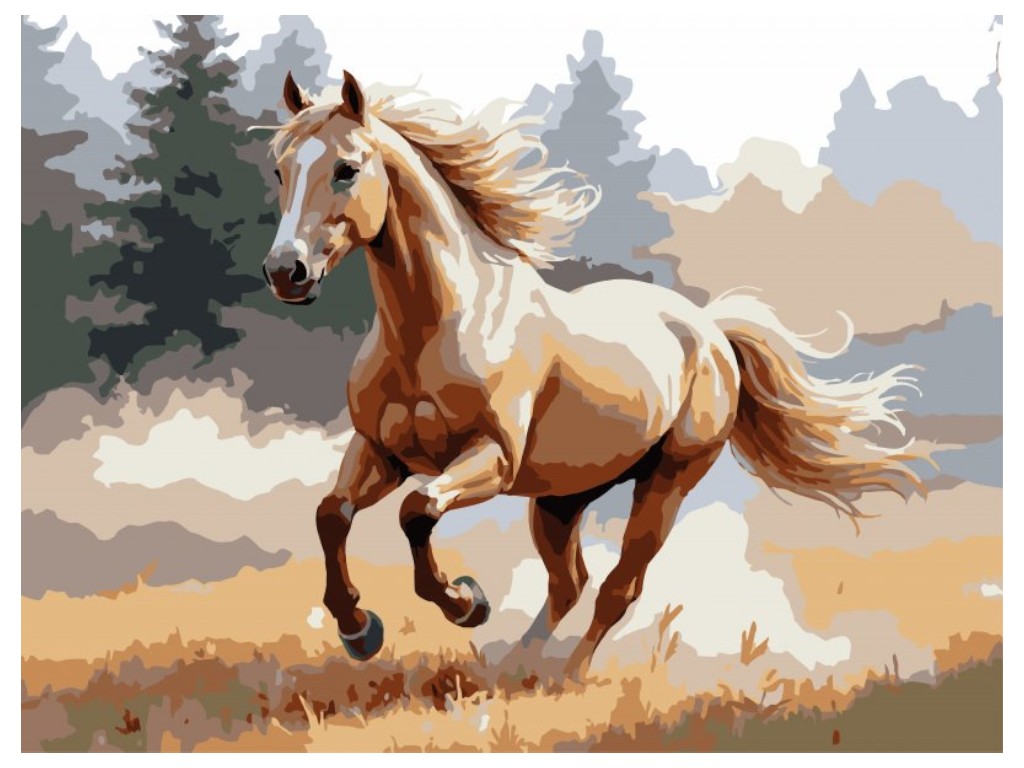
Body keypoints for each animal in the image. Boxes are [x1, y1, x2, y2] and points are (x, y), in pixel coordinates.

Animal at [260, 70, 924, 680]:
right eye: (280, 170)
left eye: (347, 168)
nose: (286, 271)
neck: (441, 326)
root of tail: (711, 332)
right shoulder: (380, 450)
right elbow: (331, 515)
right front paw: (359, 630)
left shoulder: (491, 461)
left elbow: (417, 511)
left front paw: (465, 602)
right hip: (562, 497)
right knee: (569, 582)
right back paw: (513, 670)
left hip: (667, 481)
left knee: (617, 587)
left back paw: (565, 679)